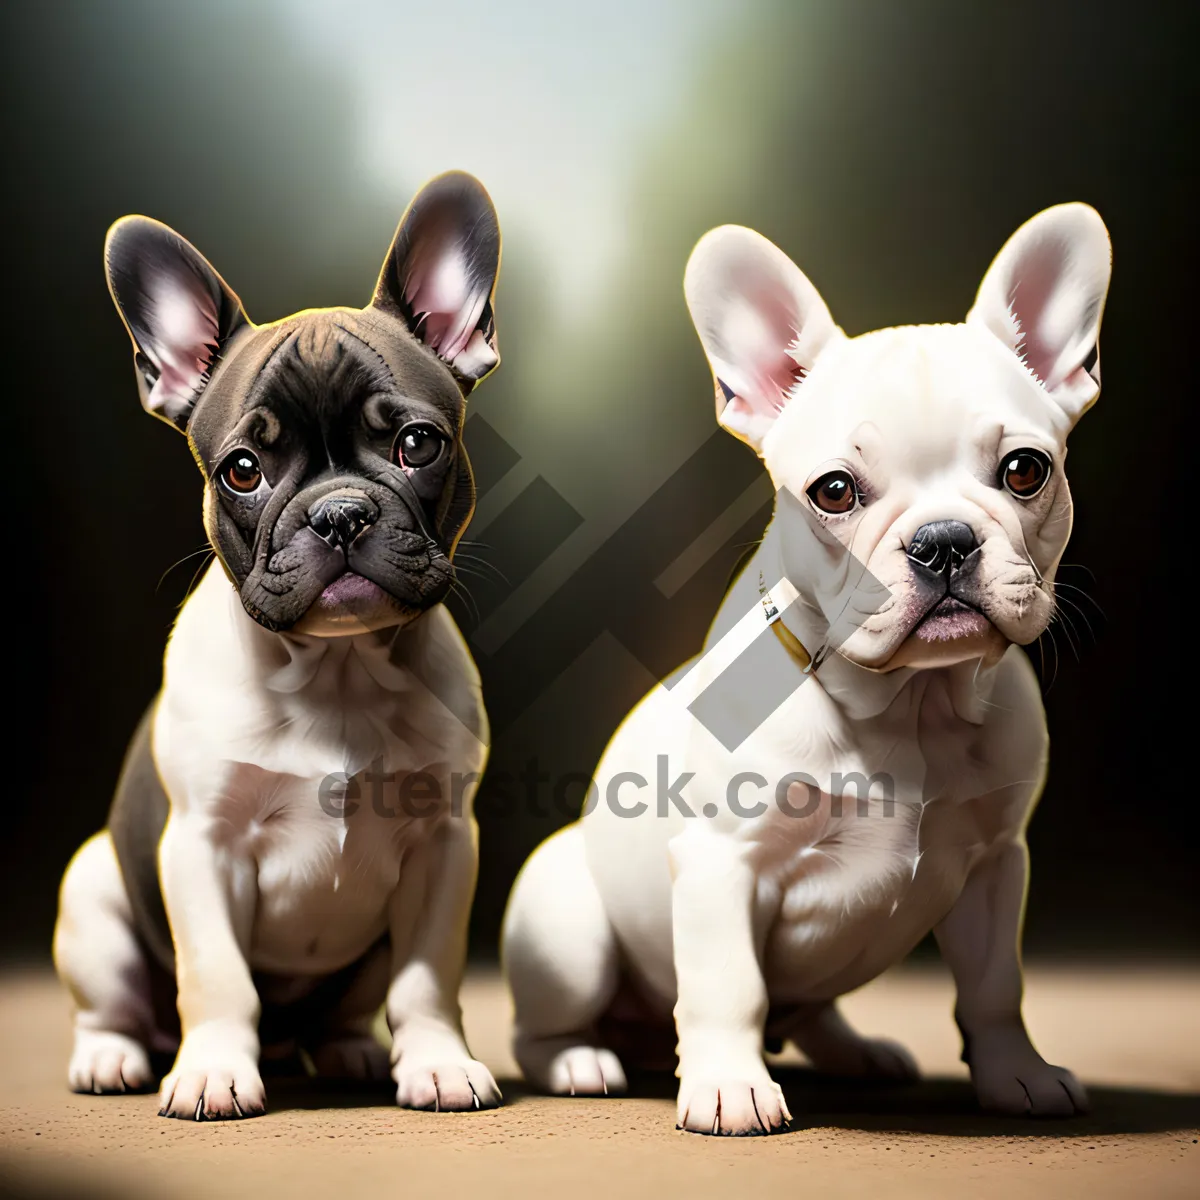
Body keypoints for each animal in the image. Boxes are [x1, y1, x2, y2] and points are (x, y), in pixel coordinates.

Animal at [55, 174, 501, 1118]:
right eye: (243, 471)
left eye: (417, 444)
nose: (338, 512)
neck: (338, 672)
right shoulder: (204, 846)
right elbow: (218, 977)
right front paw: (215, 1072)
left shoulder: (445, 845)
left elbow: (427, 977)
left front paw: (440, 1064)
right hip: (94, 894)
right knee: (115, 1004)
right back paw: (113, 1057)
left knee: (347, 1010)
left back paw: (349, 1052)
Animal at [501, 204, 1108, 1132]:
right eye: (834, 491)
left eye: (1025, 470)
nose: (943, 541)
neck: (911, 705)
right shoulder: (722, 864)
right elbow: (729, 988)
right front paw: (727, 1087)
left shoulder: (997, 865)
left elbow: (994, 988)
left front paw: (1018, 1076)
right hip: (570, 932)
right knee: (547, 1025)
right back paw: (582, 1062)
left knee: (814, 1009)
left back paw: (857, 1053)